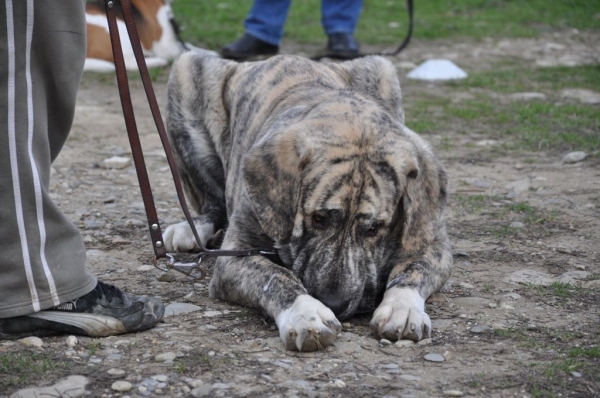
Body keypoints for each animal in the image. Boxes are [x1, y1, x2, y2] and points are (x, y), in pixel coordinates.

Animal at [162, 50, 452, 352]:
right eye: (318, 219)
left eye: (374, 229)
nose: (334, 303)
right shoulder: (236, 256)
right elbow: (276, 276)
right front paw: (305, 312)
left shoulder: (433, 243)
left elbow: (413, 269)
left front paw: (403, 308)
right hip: (187, 69)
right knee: (212, 202)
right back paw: (190, 229)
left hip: (382, 69)